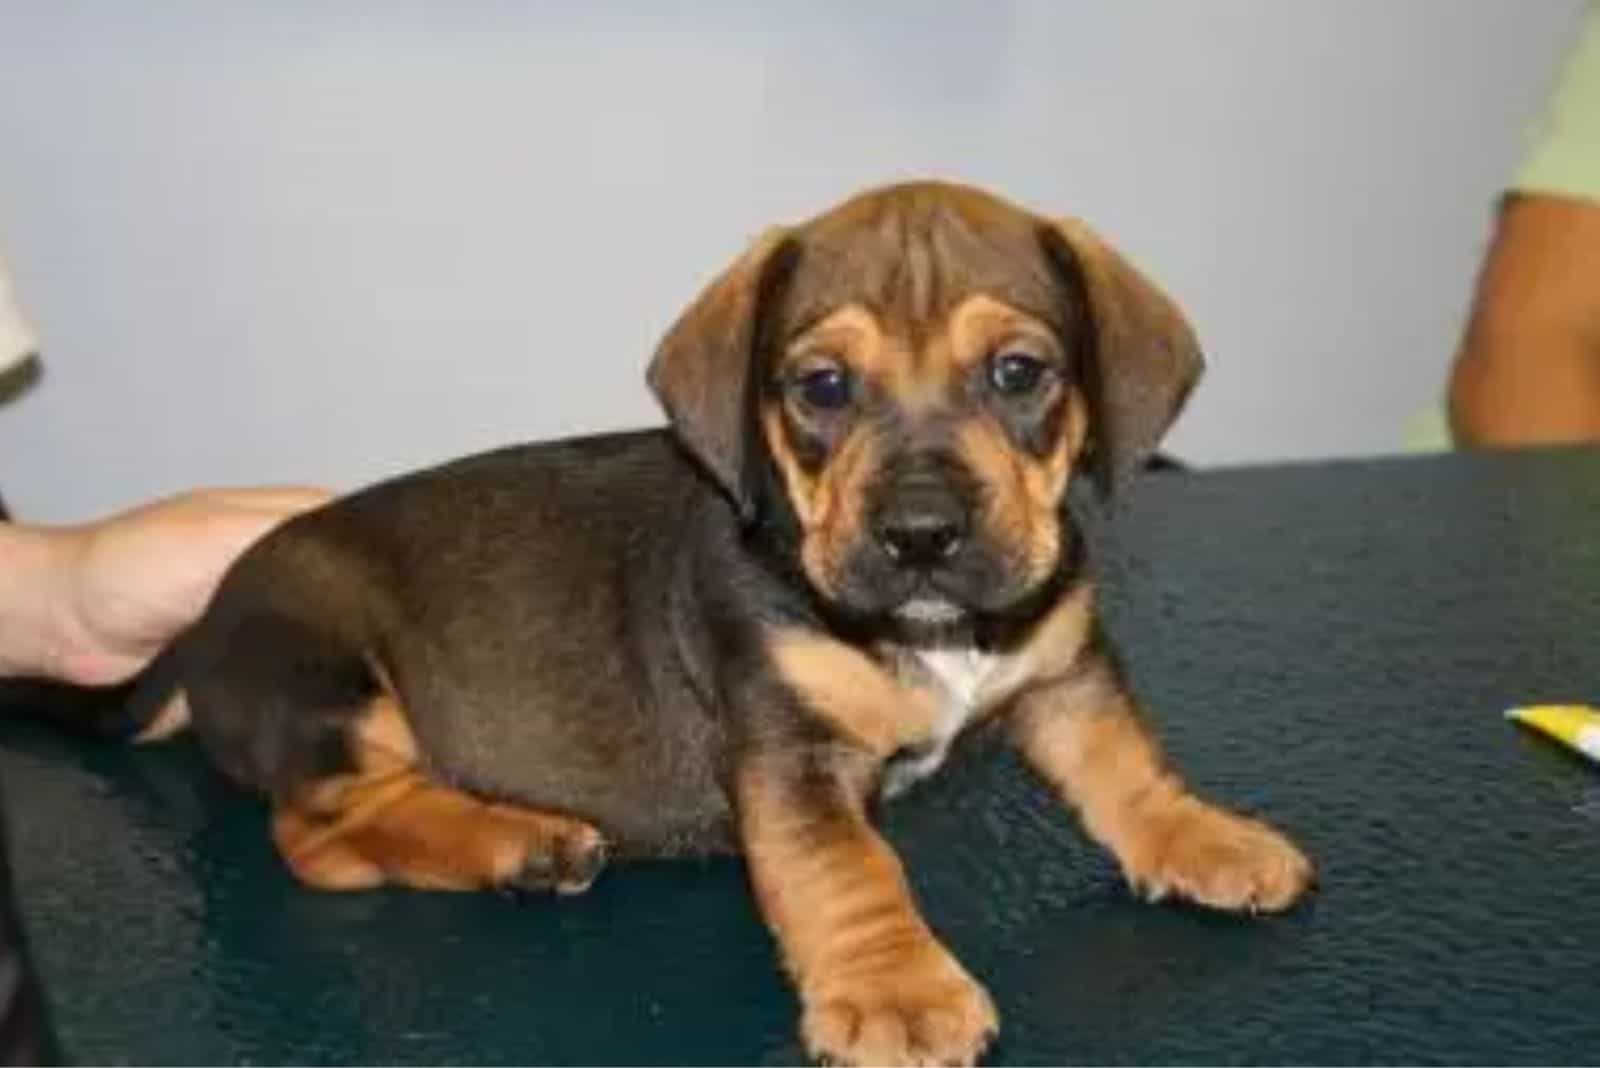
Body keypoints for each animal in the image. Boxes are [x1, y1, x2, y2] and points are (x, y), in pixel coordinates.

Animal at [156, 181, 1318, 1068]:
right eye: (823, 386)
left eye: (1018, 373)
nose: (921, 535)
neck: (934, 632)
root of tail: (202, 628)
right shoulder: (788, 754)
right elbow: (848, 873)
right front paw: (896, 992)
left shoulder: (1063, 674)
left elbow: (1128, 763)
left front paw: (1203, 836)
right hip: (336, 692)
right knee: (321, 838)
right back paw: (515, 840)